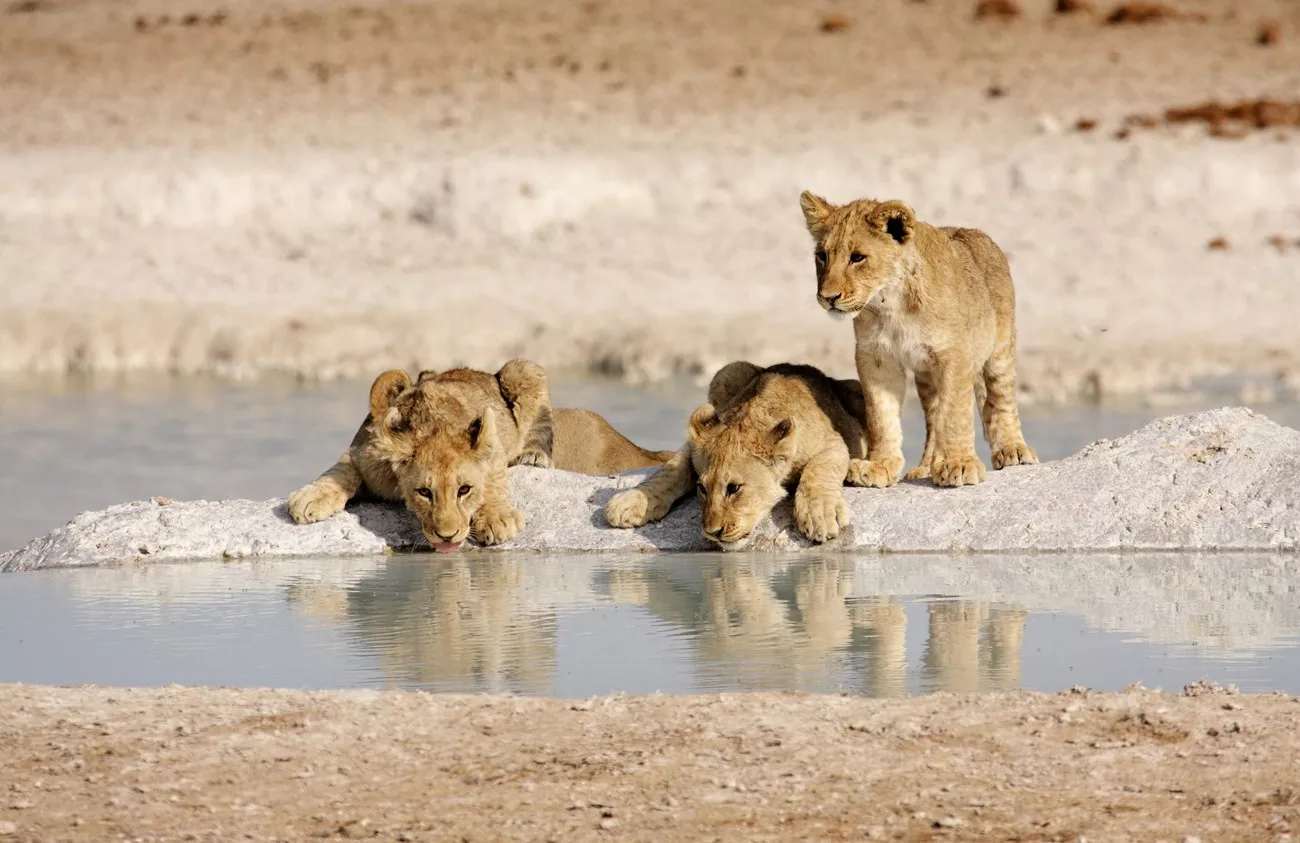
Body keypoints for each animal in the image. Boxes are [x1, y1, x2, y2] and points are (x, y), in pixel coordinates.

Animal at [287, 360, 673, 551]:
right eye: (424, 492)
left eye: (464, 490)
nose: (447, 536)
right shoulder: (362, 454)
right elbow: (339, 471)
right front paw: (309, 498)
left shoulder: (492, 442)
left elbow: (495, 475)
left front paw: (497, 518)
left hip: (524, 370)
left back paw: (533, 456)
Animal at [604, 361, 866, 550]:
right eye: (702, 488)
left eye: (734, 488)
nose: (713, 532)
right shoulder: (695, 444)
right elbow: (670, 470)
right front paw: (630, 503)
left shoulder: (833, 443)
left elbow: (820, 470)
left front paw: (818, 515)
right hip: (726, 372)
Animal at [799, 191, 1038, 487]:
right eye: (822, 256)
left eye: (857, 257)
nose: (828, 297)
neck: (891, 304)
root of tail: (976, 233)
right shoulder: (876, 358)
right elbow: (881, 416)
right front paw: (879, 466)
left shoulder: (955, 354)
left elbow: (955, 413)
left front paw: (959, 464)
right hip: (926, 376)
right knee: (935, 418)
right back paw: (926, 467)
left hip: (1000, 351)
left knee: (1001, 399)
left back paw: (1013, 449)